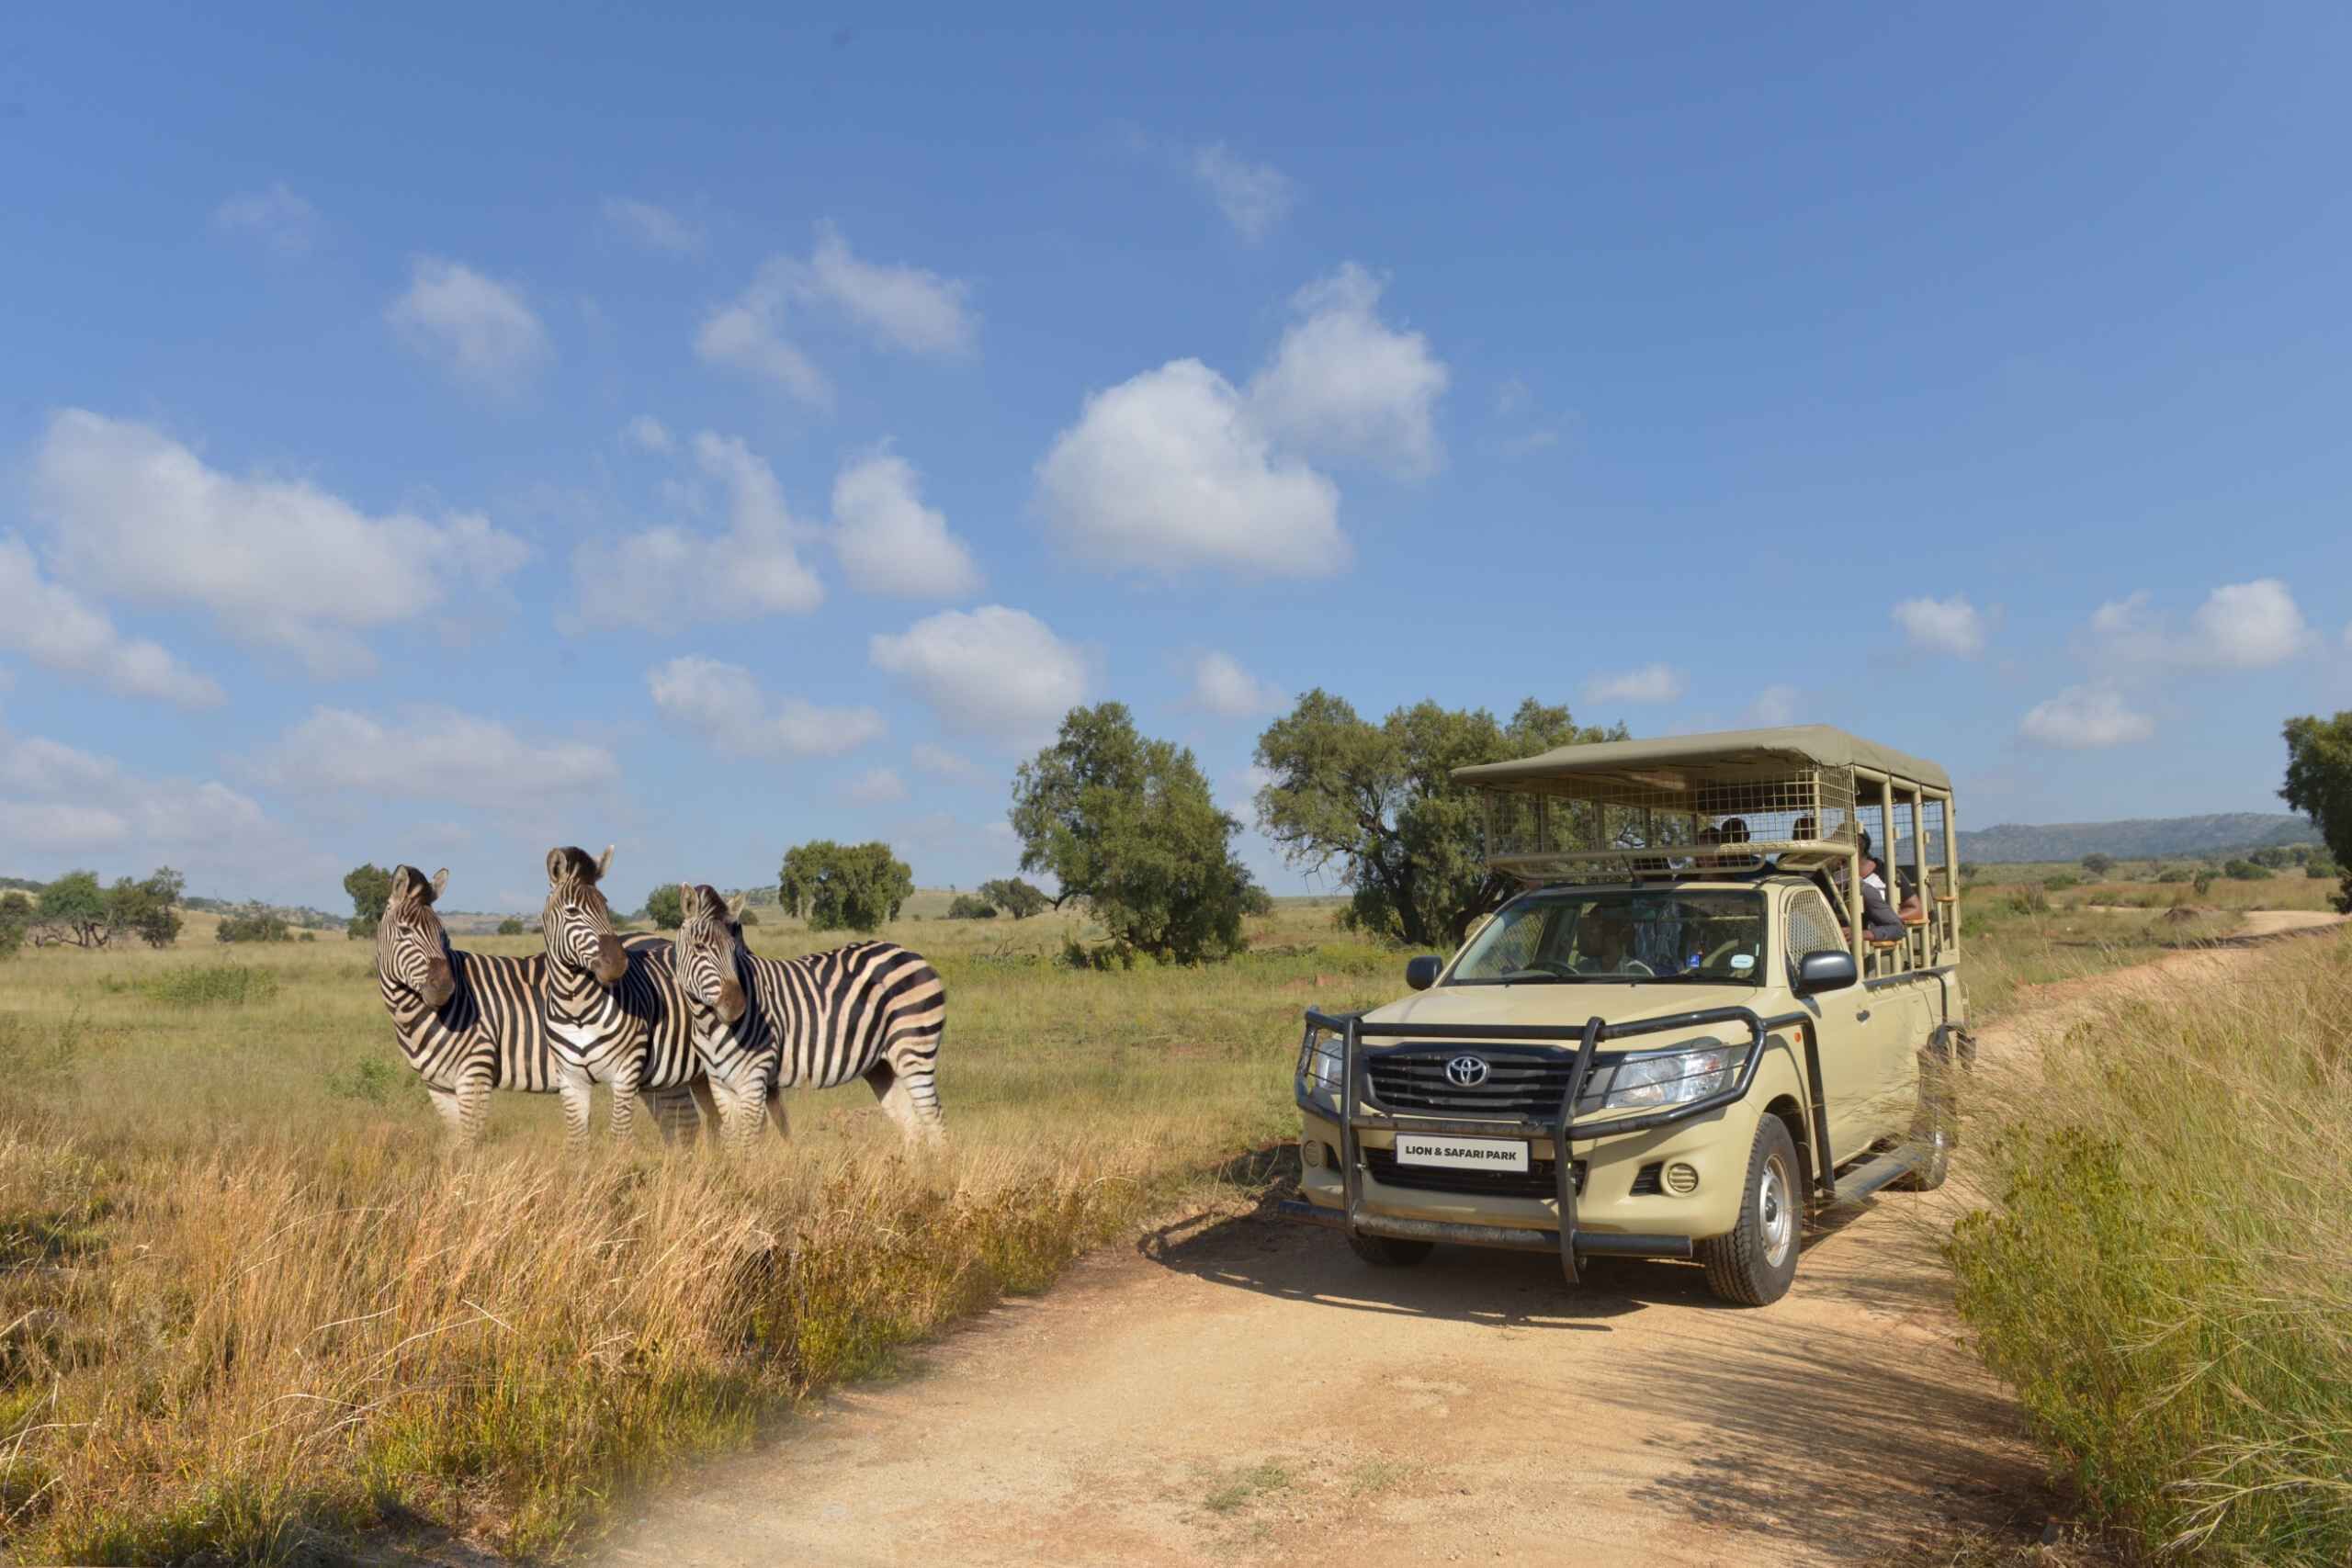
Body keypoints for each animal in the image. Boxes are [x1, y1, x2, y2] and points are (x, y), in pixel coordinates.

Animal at [368, 864, 706, 1146]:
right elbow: (454, 1145)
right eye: (405, 931)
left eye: (442, 933)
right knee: (682, 1124)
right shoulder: (438, 1086)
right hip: (662, 1074)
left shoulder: (474, 1074)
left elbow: (468, 1145)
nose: (444, 988)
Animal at [662, 884, 945, 1152]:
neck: (708, 1024)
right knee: (911, 1125)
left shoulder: (753, 1079)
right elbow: (733, 1142)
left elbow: (750, 1143)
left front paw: (751, 1171)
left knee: (933, 1116)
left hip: (914, 1049)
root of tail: (909, 953)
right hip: (882, 1065)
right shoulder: (720, 1084)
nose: (737, 1007)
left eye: (734, 950)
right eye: (699, 947)